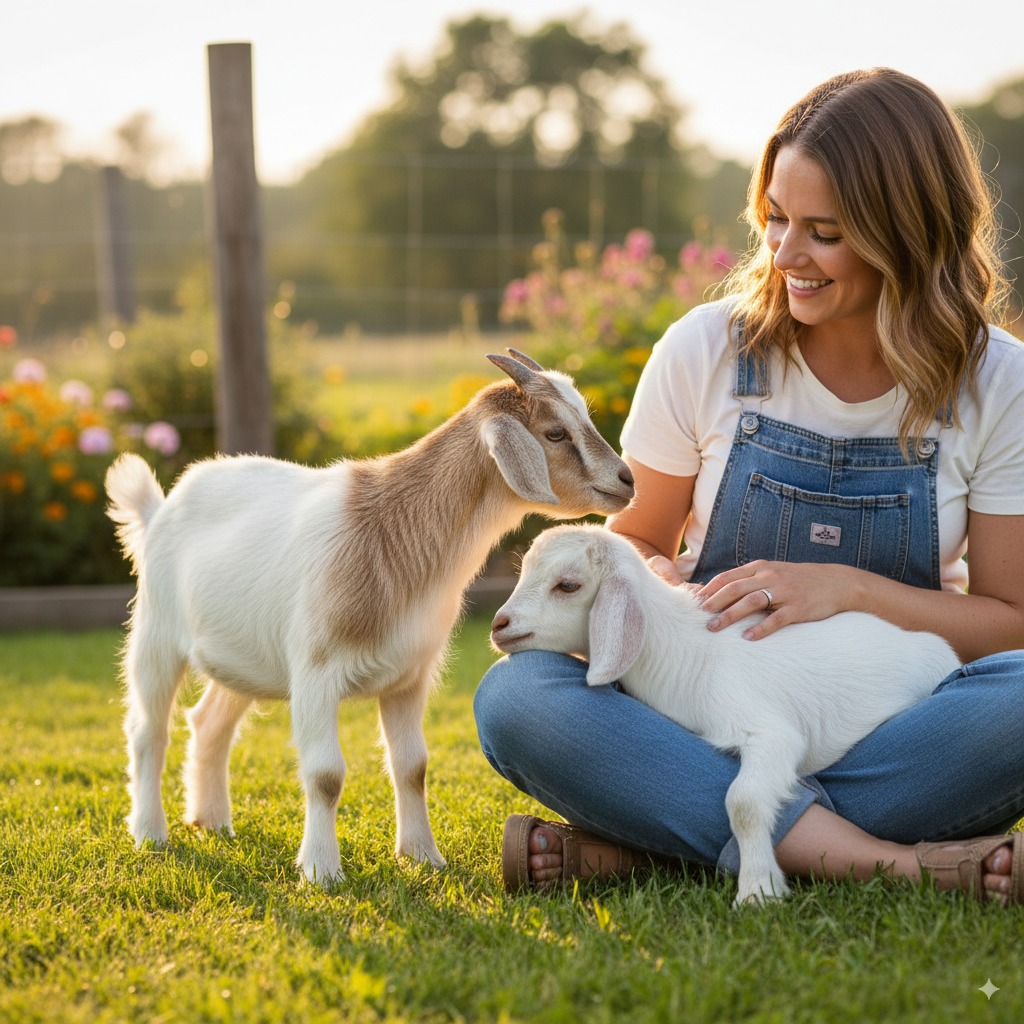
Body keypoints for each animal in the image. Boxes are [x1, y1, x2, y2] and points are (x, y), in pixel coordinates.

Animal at [104, 351, 635, 885]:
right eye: (555, 432)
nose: (626, 479)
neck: (389, 529)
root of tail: (160, 508)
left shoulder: (409, 677)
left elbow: (413, 767)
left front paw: (422, 856)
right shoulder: (315, 673)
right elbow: (325, 774)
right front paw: (321, 870)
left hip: (243, 659)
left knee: (210, 722)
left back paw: (210, 820)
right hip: (156, 634)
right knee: (148, 730)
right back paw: (150, 833)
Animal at [489, 523, 961, 905]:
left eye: (567, 585)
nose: (499, 625)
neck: (686, 651)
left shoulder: (771, 733)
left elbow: (744, 802)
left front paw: (758, 890)